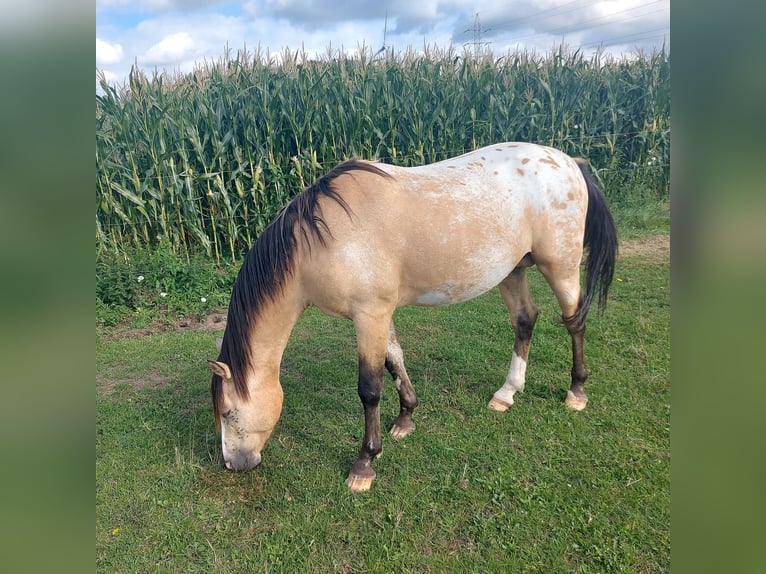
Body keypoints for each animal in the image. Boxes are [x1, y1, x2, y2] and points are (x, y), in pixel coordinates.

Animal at [208, 142, 616, 492]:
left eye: (228, 412)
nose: (232, 464)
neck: (320, 240)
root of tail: (569, 163)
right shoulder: (378, 312)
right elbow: (395, 359)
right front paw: (406, 418)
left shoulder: (369, 314)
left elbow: (370, 388)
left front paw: (364, 464)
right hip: (513, 270)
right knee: (525, 320)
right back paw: (507, 393)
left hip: (560, 267)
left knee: (574, 321)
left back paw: (576, 391)